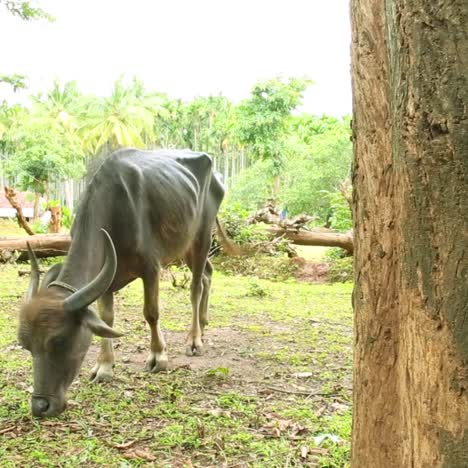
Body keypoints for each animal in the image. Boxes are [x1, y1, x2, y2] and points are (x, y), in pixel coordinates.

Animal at [18, 149, 230, 416]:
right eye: (26, 346)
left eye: (59, 342)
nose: (40, 406)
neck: (115, 208)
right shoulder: (106, 279)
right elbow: (107, 318)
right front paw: (104, 366)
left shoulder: (151, 267)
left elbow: (151, 313)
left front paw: (158, 356)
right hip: (184, 245)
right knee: (207, 275)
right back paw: (203, 323)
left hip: (202, 235)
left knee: (196, 287)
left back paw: (194, 340)